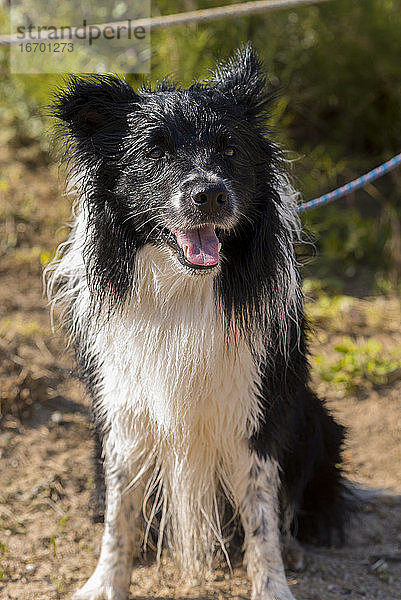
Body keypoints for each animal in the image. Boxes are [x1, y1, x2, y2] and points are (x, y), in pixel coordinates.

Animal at [48, 47, 350, 600]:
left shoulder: (254, 406)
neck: (184, 287)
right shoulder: (124, 408)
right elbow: (119, 513)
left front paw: (272, 584)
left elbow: (261, 516)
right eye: (155, 151)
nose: (209, 194)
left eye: (230, 148)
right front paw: (105, 583)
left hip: (312, 413)